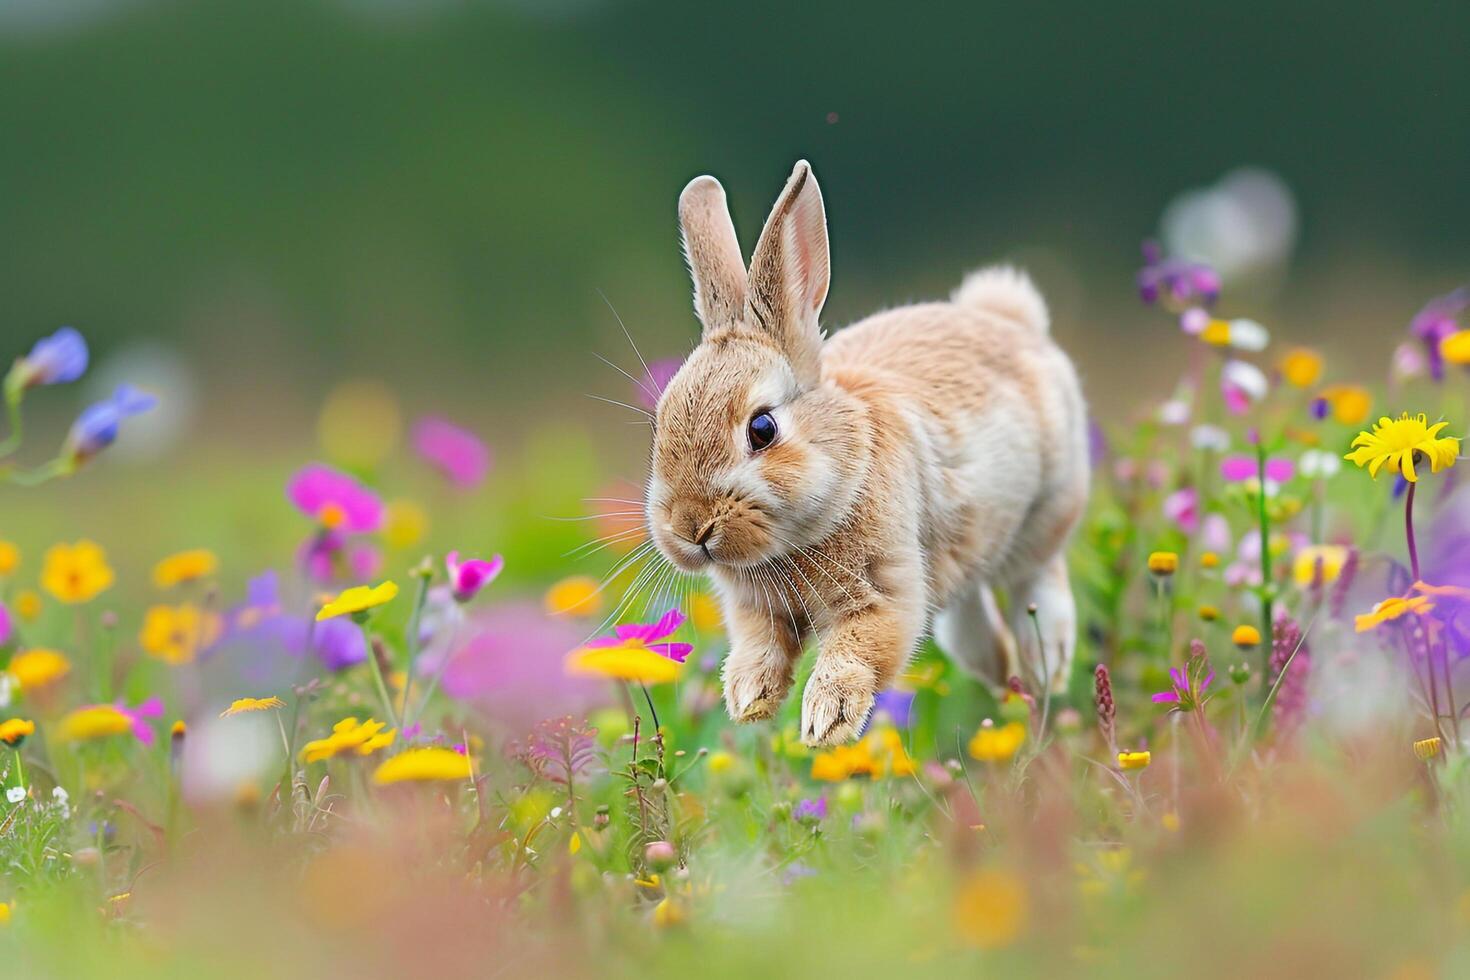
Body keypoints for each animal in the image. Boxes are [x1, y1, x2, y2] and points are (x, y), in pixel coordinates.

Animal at [644, 160, 1089, 745]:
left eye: (762, 429)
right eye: (660, 424)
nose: (689, 528)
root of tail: (1013, 322)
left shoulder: (885, 592)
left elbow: (859, 648)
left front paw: (825, 721)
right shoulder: (757, 612)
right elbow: (760, 647)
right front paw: (748, 699)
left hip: (1048, 509)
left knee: (1035, 581)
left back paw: (1044, 667)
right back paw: (1005, 679)